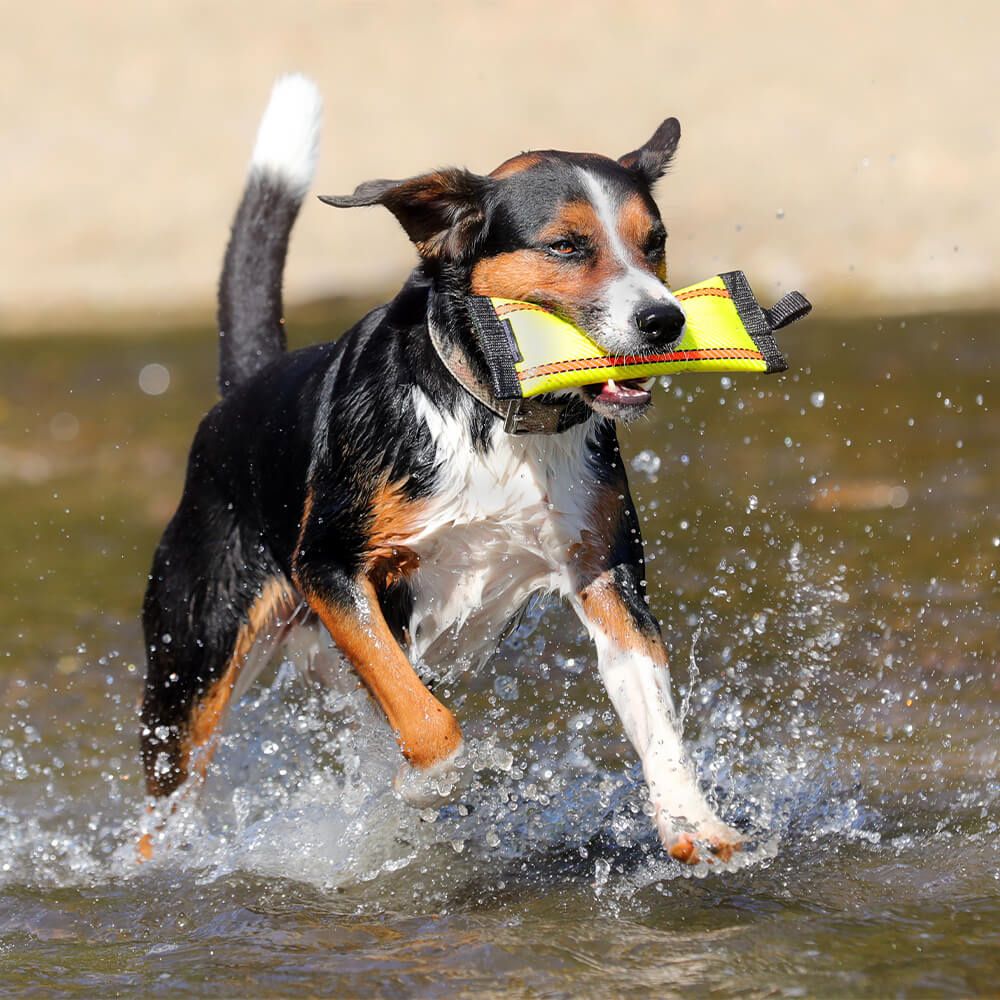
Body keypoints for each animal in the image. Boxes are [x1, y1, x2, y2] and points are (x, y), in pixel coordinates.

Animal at [145, 74, 748, 864]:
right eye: (566, 245)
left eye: (657, 244)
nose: (665, 321)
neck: (496, 417)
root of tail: (243, 392)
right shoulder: (331, 567)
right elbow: (430, 722)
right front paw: (435, 784)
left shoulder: (605, 572)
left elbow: (655, 715)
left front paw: (693, 822)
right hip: (195, 663)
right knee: (166, 804)